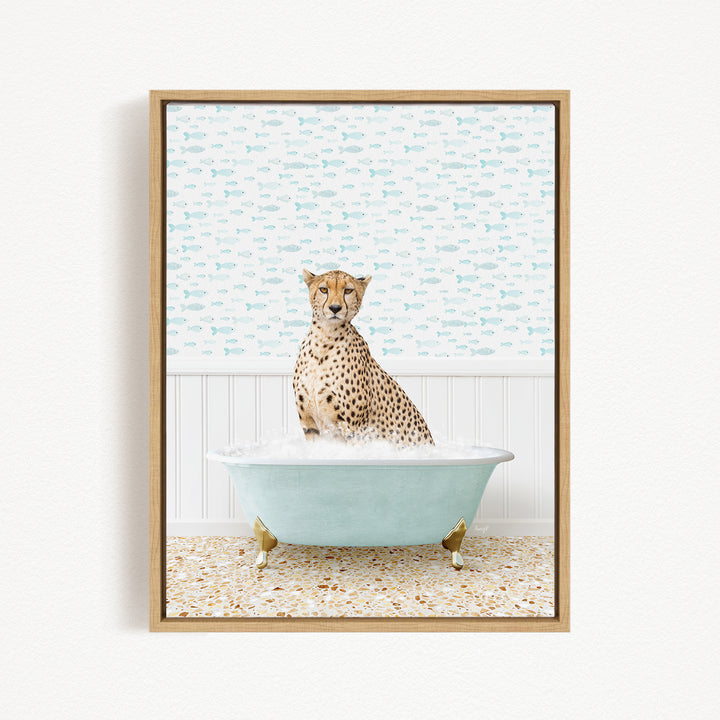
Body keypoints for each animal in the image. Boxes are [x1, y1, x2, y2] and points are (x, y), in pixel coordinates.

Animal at [292, 268, 434, 446]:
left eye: (348, 290)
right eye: (324, 289)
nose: (335, 308)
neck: (324, 339)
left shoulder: (354, 429)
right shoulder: (309, 425)